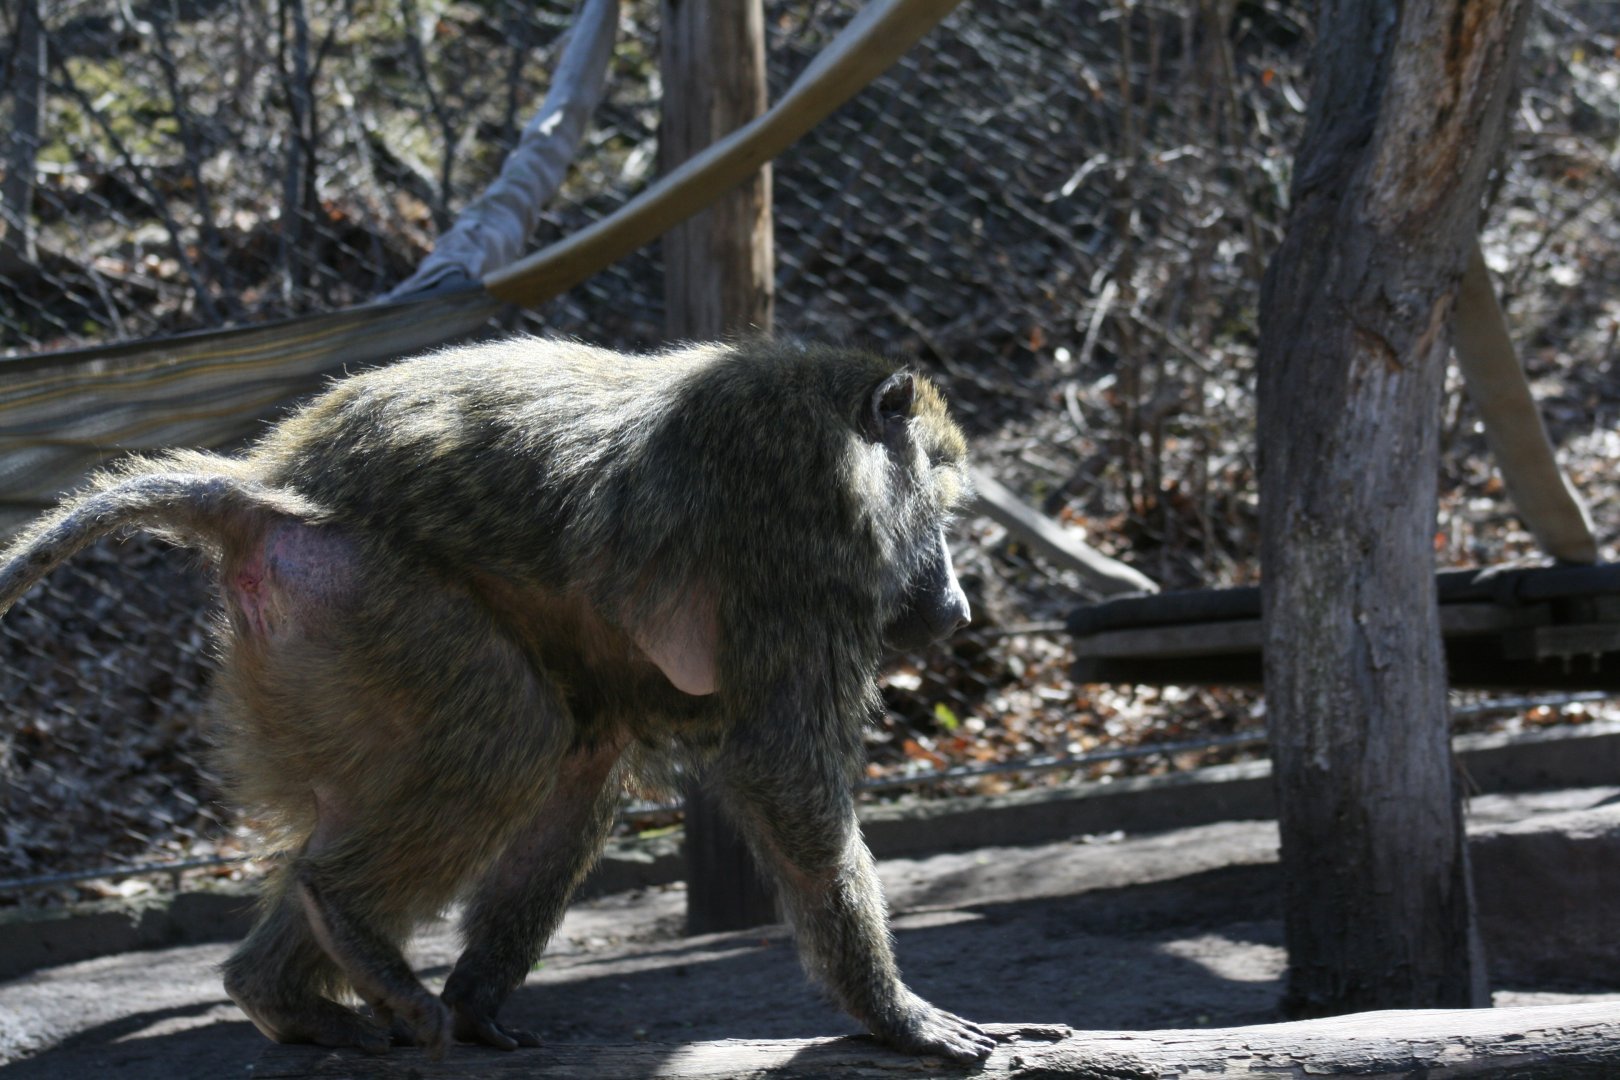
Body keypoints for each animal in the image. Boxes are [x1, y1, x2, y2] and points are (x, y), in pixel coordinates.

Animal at [0, 337, 996, 1063]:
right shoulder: (797, 539)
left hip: (307, 648)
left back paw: (292, 994)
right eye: (939, 513)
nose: (956, 608)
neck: (835, 434)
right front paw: (895, 1016)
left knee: (562, 761)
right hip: (361, 599)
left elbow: (606, 755)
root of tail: (259, 491)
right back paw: (346, 920)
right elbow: (783, 775)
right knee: (516, 737)